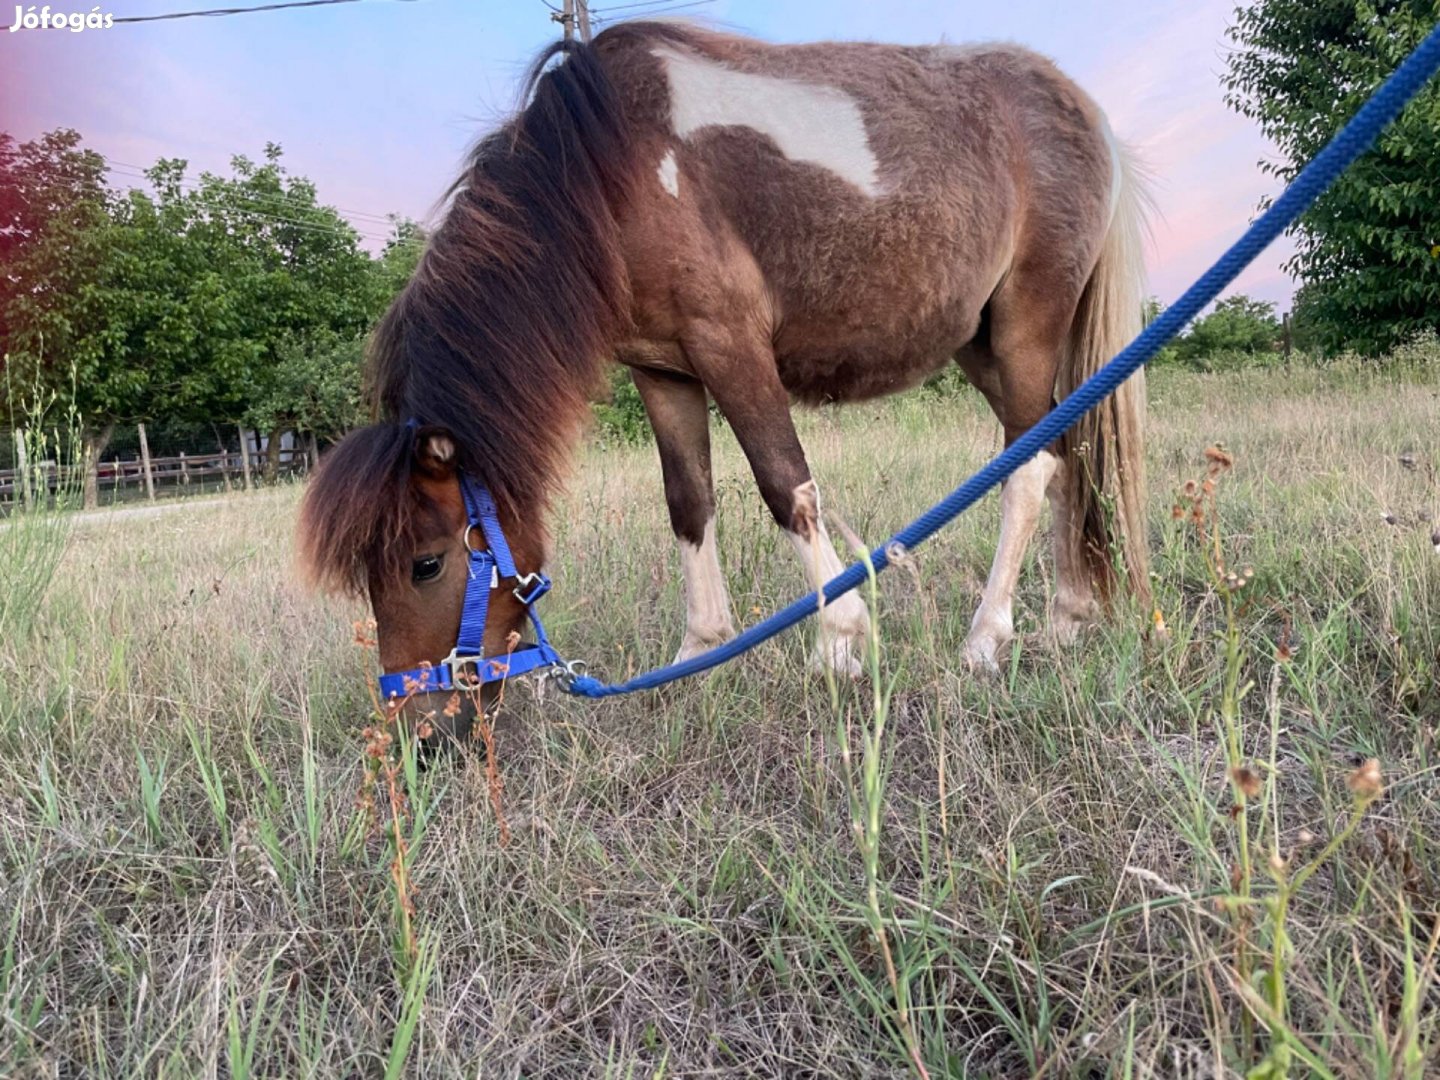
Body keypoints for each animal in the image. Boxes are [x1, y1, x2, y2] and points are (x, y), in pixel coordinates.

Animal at [298, 21, 1152, 743]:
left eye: (426, 563)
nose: (423, 737)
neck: (605, 170)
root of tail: (1083, 111)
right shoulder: (664, 369)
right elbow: (689, 503)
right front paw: (699, 654)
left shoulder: (730, 343)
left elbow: (786, 486)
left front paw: (839, 642)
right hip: (983, 346)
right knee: (1067, 451)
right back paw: (1067, 619)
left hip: (1027, 324)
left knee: (1029, 466)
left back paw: (985, 640)